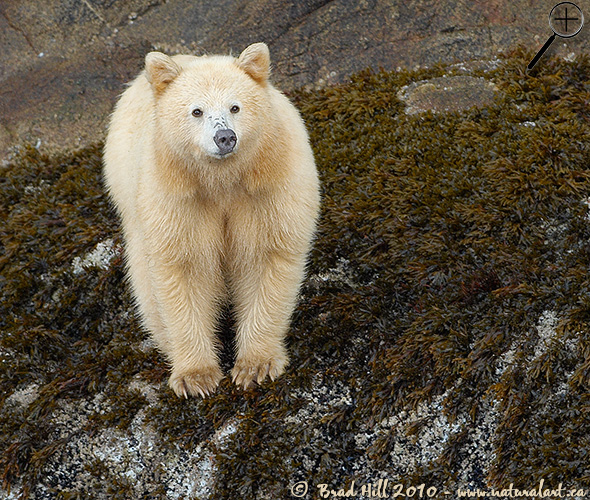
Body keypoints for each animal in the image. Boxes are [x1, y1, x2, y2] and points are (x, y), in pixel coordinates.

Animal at [104, 43, 322, 398]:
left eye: (235, 106)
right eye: (196, 111)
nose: (225, 138)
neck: (222, 180)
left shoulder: (267, 187)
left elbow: (264, 257)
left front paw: (255, 366)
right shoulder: (179, 198)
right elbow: (186, 268)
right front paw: (196, 376)